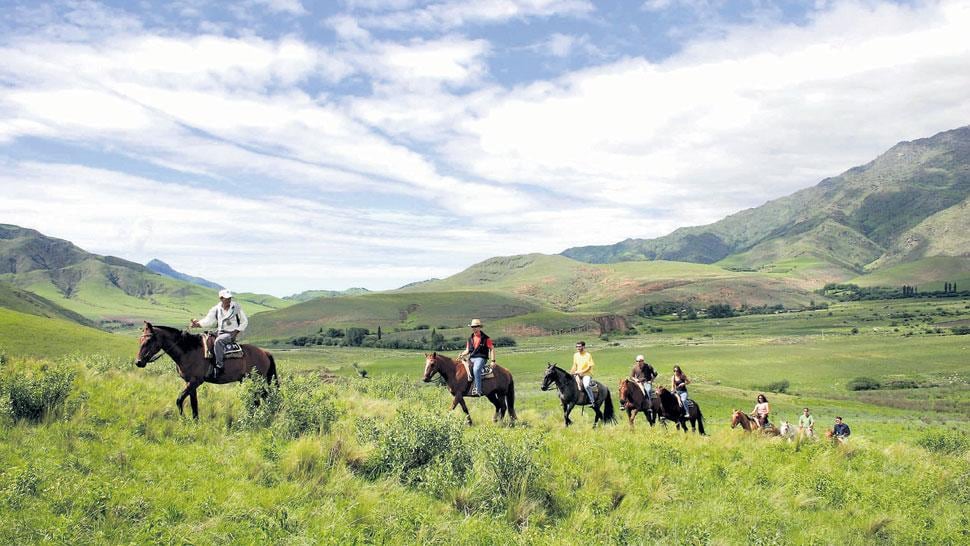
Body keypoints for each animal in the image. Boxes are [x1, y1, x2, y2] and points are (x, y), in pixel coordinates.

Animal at [133, 320, 276, 418]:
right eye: (140, 340)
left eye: (149, 340)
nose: (138, 362)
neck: (188, 350)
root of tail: (265, 353)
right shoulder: (189, 382)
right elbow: (193, 404)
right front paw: (195, 422)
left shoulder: (195, 381)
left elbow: (179, 400)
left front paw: (183, 419)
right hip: (250, 381)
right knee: (258, 399)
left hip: (258, 380)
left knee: (265, 397)